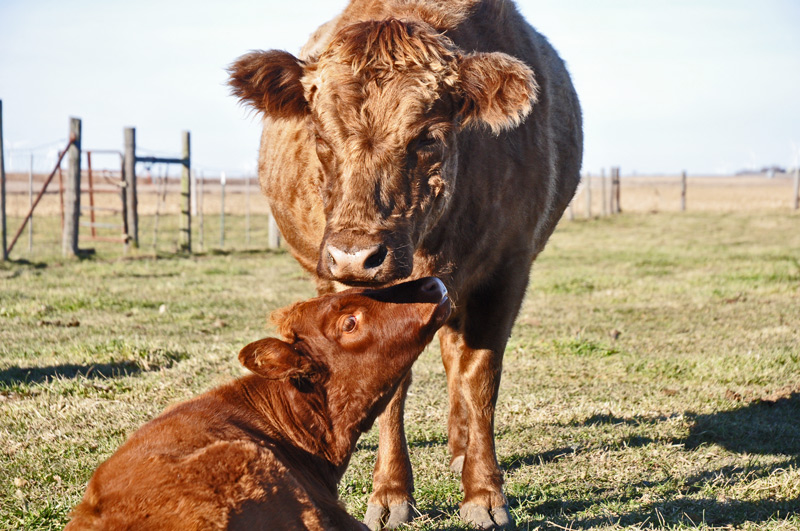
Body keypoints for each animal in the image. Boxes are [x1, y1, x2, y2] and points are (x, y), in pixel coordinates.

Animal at [228, 0, 582, 528]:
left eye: (428, 138)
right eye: (320, 134)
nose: (355, 255)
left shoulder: (506, 273)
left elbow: (479, 377)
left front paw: (484, 494)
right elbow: (391, 385)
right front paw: (391, 493)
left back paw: (461, 450)